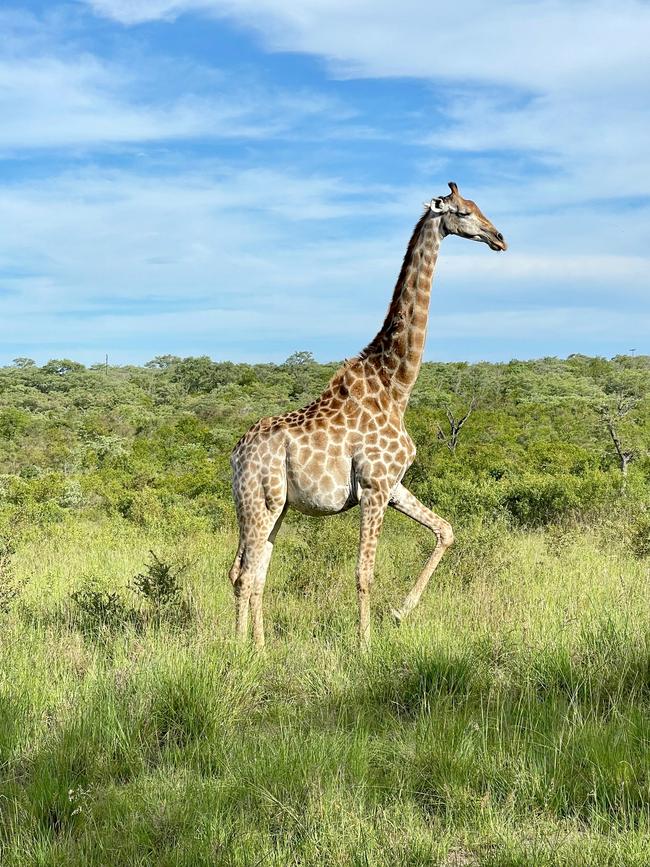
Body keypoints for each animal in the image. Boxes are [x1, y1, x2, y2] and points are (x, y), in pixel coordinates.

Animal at [229, 181, 506, 644]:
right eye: (464, 212)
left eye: (479, 205)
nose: (499, 238)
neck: (396, 386)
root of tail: (235, 456)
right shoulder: (375, 487)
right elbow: (364, 573)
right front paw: (365, 645)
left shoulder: (393, 485)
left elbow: (445, 530)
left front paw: (400, 612)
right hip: (260, 501)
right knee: (245, 574)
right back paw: (238, 649)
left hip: (273, 506)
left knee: (250, 572)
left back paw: (260, 648)